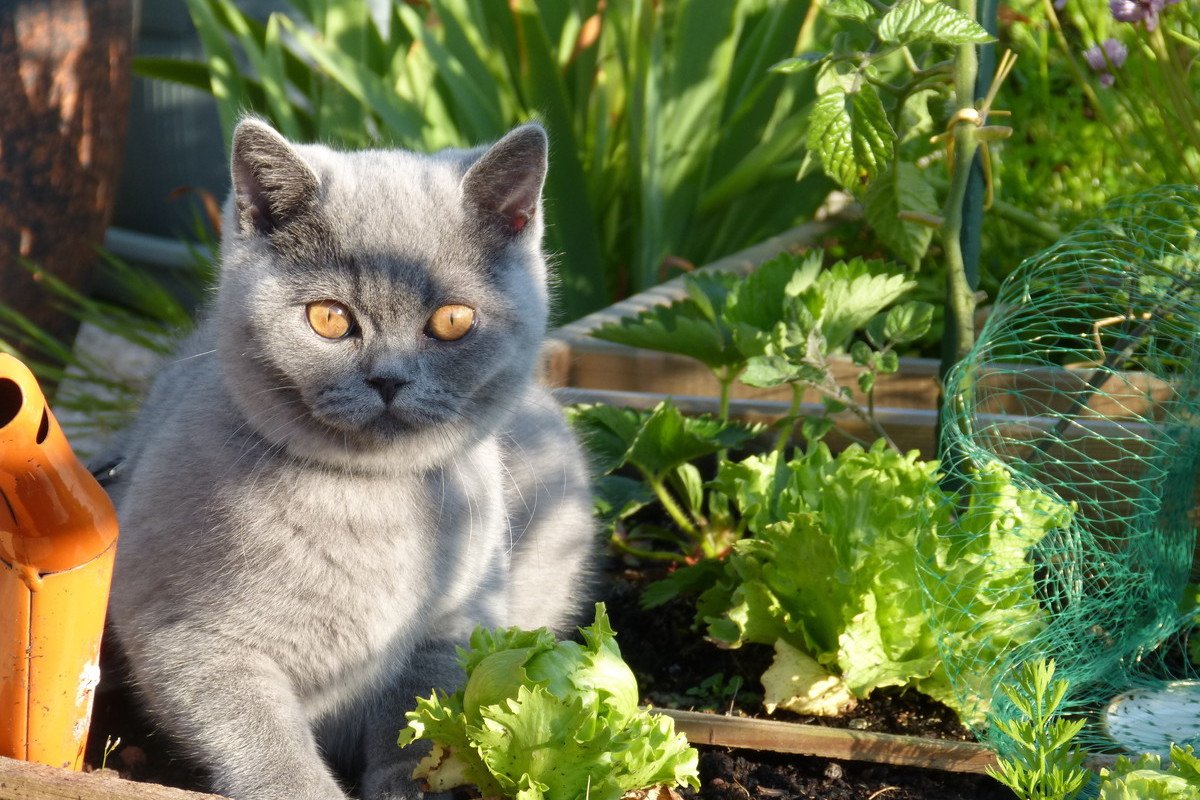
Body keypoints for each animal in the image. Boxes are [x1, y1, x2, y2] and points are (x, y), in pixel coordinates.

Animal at [103, 120, 595, 800]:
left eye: (453, 320)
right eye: (330, 319)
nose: (388, 378)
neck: (369, 499)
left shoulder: (454, 623)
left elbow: (415, 721)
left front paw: (409, 787)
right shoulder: (193, 639)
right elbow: (269, 749)